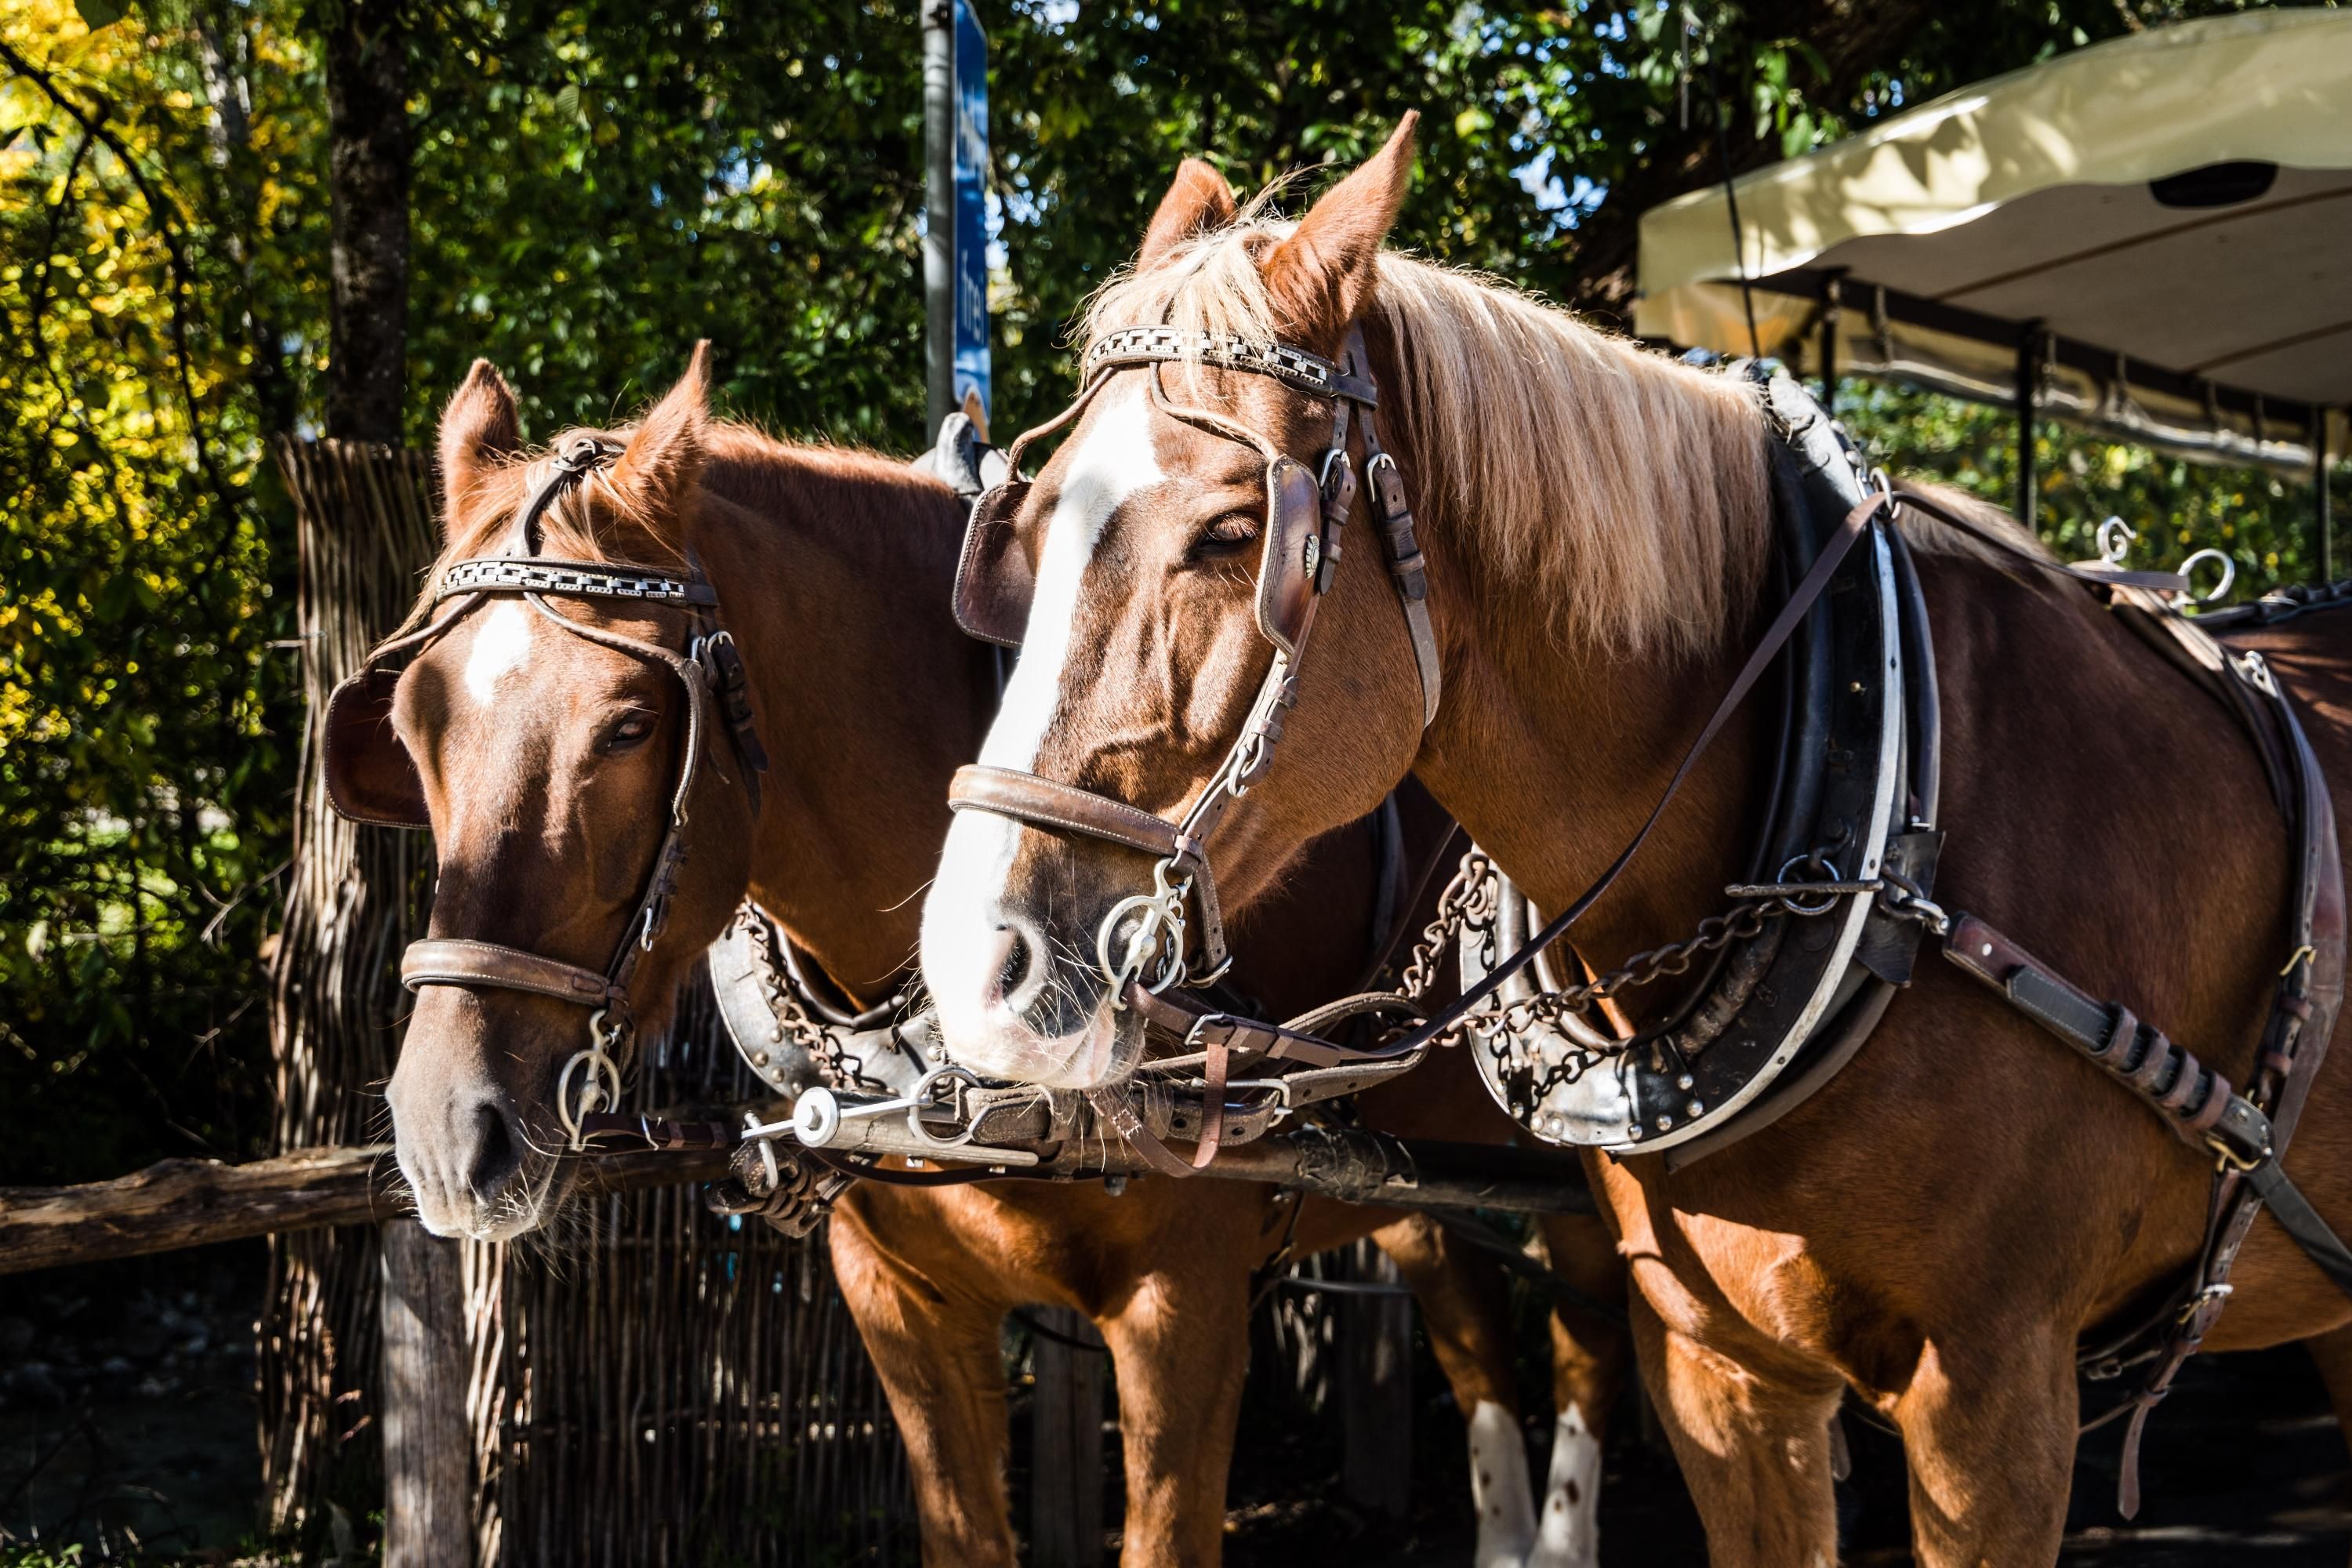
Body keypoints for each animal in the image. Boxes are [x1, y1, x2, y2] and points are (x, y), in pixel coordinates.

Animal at [370, 350, 1629, 1566]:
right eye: (410, 725)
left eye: (633, 723)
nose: (447, 1130)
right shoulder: (902, 1303)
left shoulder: (1185, 1307)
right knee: (1469, 1315)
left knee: (1590, 1322)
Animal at [912, 115, 2352, 1565]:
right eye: (1025, 526)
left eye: (1231, 531)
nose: (981, 966)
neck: (1882, 846)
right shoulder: (1723, 1377)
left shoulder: (1997, 1399)